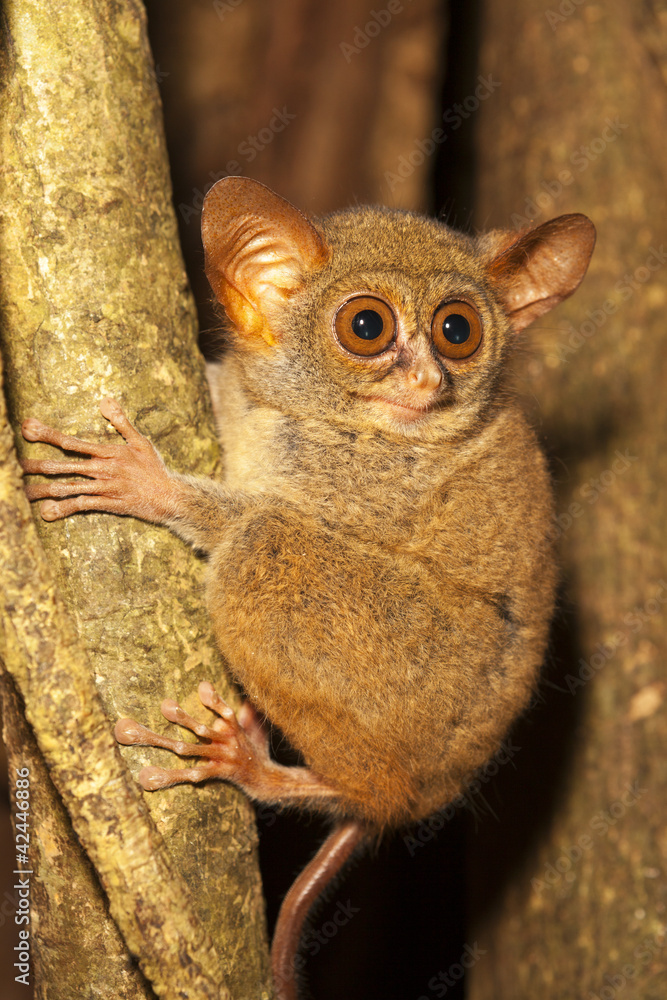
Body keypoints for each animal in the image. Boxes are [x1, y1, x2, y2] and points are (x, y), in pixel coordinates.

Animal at [21, 177, 595, 1000]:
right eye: (367, 326)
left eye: (457, 330)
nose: (428, 382)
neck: (318, 420)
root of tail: (437, 789)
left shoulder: (376, 481)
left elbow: (248, 517)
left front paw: (144, 483)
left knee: (260, 546)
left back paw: (252, 766)